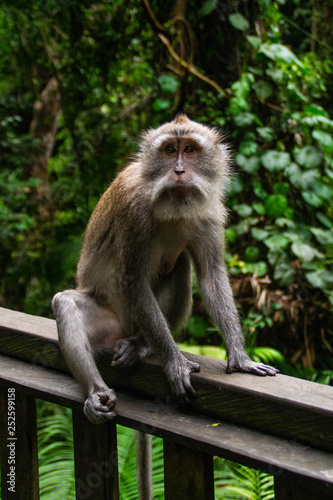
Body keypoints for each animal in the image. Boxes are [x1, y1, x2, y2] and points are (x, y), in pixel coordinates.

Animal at [52, 115, 278, 424]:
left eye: (190, 150)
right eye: (170, 150)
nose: (179, 170)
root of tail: (126, 329)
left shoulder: (210, 213)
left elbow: (211, 276)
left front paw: (241, 358)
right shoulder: (134, 211)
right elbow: (133, 281)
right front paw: (174, 364)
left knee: (181, 266)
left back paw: (140, 345)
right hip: (110, 325)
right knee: (64, 303)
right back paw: (96, 392)